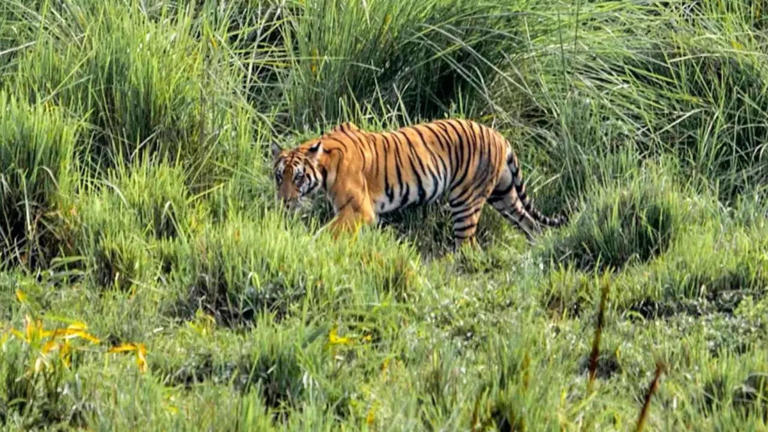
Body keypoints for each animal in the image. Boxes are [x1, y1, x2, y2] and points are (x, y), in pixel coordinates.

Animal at [272, 119, 567, 249]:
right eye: (279, 176)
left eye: (298, 177)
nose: (284, 201)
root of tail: (500, 136)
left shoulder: (356, 210)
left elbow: (326, 232)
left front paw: (307, 246)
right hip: (503, 194)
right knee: (530, 222)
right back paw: (536, 250)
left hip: (465, 200)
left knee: (467, 245)